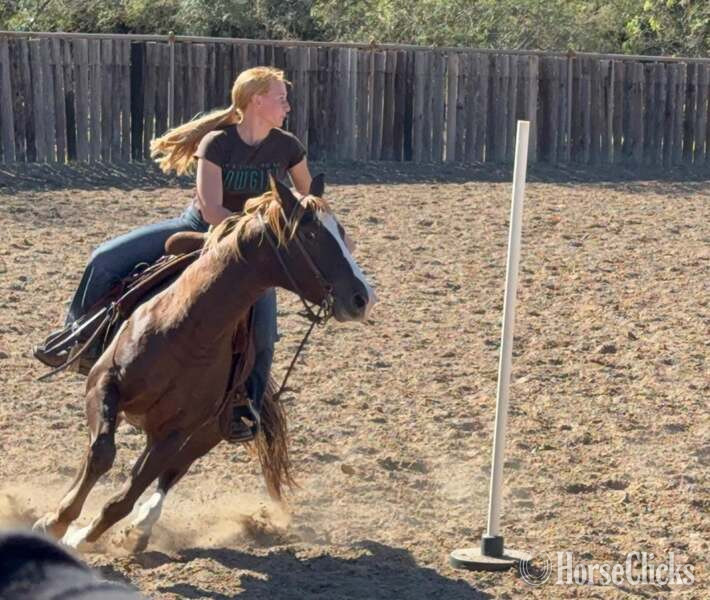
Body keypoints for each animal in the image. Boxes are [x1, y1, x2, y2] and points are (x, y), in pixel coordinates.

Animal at [33, 174, 376, 552]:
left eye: (341, 231)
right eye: (311, 234)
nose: (362, 298)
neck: (185, 329)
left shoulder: (177, 431)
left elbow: (127, 495)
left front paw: (80, 535)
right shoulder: (103, 384)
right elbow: (101, 453)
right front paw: (55, 522)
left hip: (207, 434)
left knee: (170, 476)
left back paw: (140, 529)